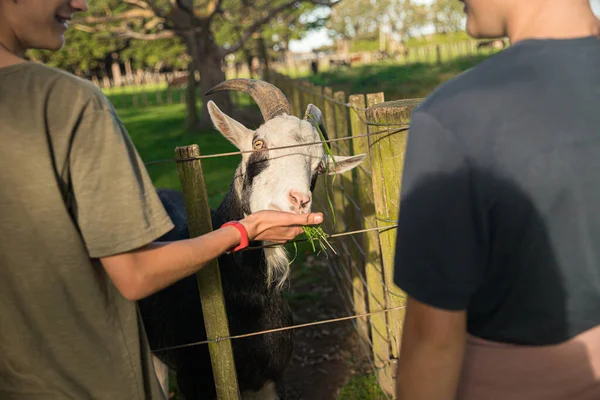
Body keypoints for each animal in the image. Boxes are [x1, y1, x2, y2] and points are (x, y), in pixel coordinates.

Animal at [138, 79, 366, 400]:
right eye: (259, 144)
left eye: (320, 167)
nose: (299, 201)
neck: (247, 297)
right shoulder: (194, 381)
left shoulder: (269, 378)